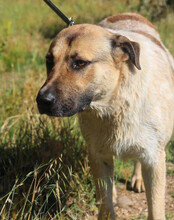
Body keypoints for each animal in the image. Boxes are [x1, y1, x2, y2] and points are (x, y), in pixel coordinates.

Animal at [36, 12, 174, 219]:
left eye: (80, 63)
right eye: (49, 61)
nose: (42, 100)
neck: (114, 104)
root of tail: (129, 14)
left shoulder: (154, 159)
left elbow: (156, 209)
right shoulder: (98, 155)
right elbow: (105, 203)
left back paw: (138, 179)